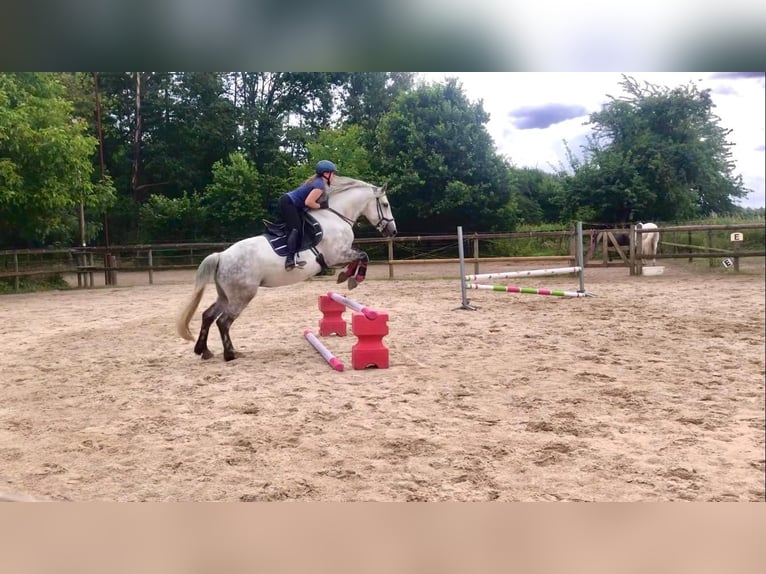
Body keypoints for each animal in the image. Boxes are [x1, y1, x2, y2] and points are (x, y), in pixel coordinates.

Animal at [175, 176, 397, 361]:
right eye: (385, 204)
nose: (393, 231)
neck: (336, 216)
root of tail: (222, 256)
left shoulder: (340, 256)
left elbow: (359, 257)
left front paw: (345, 276)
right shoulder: (336, 255)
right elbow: (363, 255)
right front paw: (353, 278)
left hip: (225, 295)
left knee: (208, 315)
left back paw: (203, 351)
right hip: (242, 295)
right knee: (224, 321)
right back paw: (230, 354)